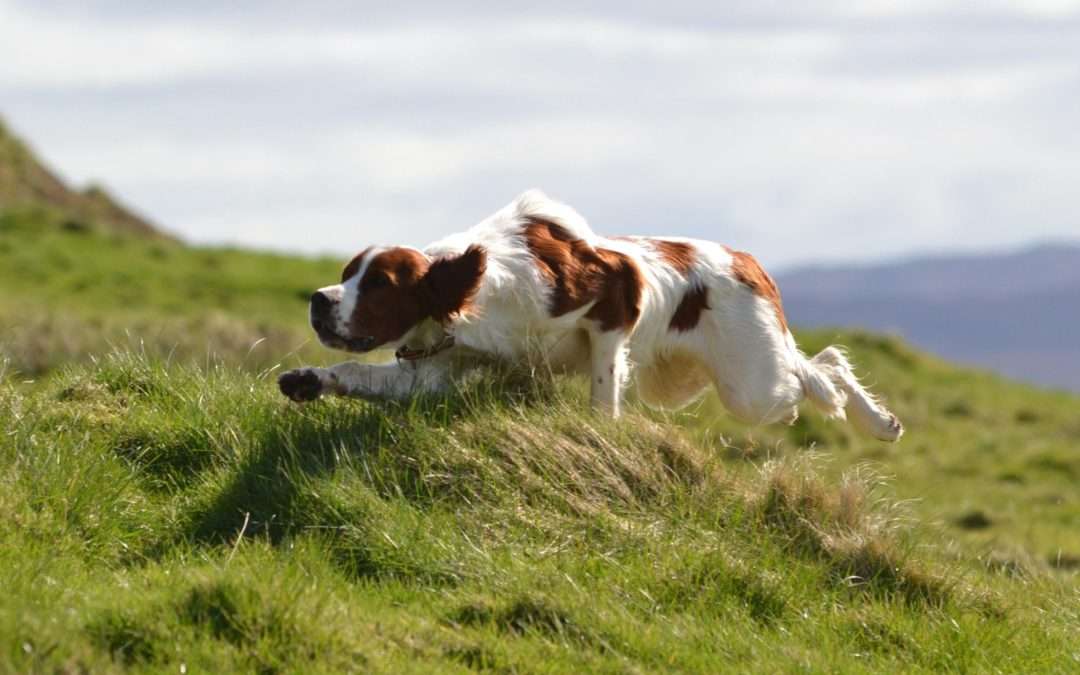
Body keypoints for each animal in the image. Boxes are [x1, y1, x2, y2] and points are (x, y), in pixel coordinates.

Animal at [276, 191, 902, 442]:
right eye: (348, 271)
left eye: (380, 284)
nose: (319, 300)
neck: (480, 289)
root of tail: (748, 261)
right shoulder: (433, 368)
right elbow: (358, 374)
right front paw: (305, 380)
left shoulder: (612, 305)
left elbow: (603, 393)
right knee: (814, 367)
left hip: (751, 384)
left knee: (822, 369)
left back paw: (880, 422)